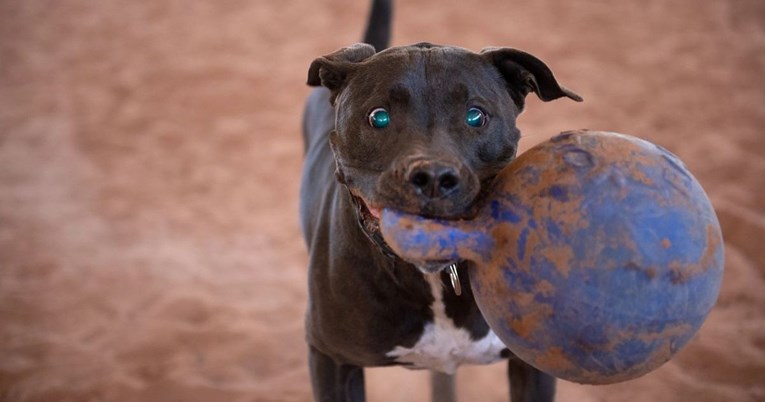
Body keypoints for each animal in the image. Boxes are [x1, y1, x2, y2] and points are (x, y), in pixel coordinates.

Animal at [298, 1, 580, 400]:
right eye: (378, 117)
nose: (432, 176)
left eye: (476, 116)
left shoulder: (531, 361)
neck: (435, 278)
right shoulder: (331, 359)